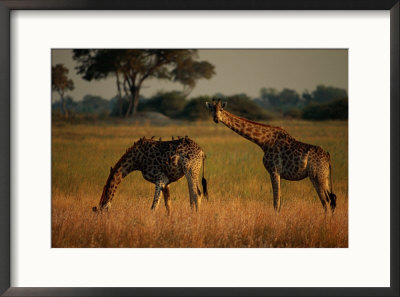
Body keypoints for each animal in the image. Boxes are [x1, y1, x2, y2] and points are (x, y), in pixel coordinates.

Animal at [205, 98, 336, 212]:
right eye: (211, 110)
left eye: (221, 109)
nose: (216, 119)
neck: (264, 142)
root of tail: (328, 157)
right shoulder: (277, 173)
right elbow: (278, 201)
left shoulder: (274, 170)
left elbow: (276, 202)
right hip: (324, 176)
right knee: (332, 199)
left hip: (317, 175)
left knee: (326, 200)